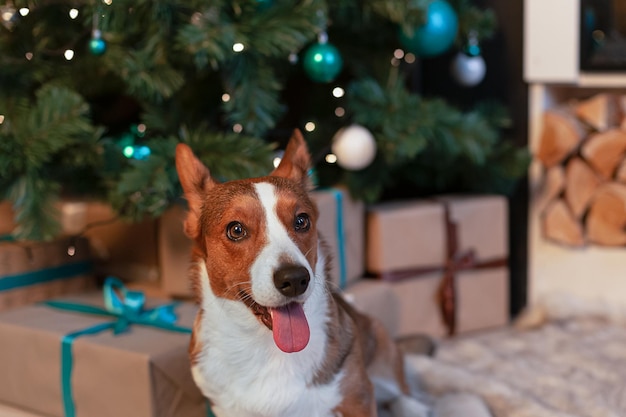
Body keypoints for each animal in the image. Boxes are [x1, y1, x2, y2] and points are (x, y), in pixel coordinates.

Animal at [173, 129, 422, 416]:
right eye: (236, 230)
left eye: (301, 221)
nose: (294, 280)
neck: (266, 347)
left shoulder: (357, 397)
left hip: (381, 363)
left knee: (403, 392)